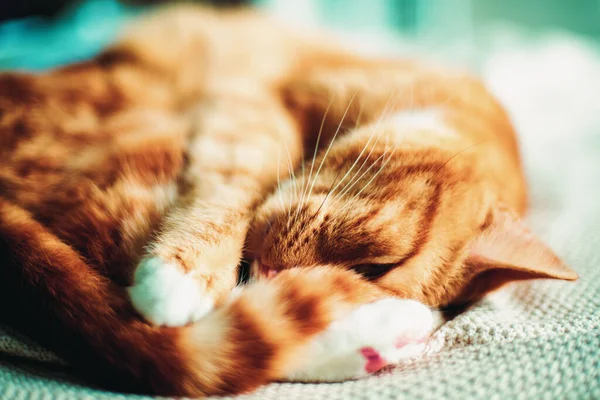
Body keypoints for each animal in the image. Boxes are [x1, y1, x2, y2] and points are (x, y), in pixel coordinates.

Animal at [0, 4, 576, 398]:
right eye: (376, 264)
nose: (278, 274)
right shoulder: (255, 104)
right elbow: (234, 183)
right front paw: (185, 275)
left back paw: (381, 339)